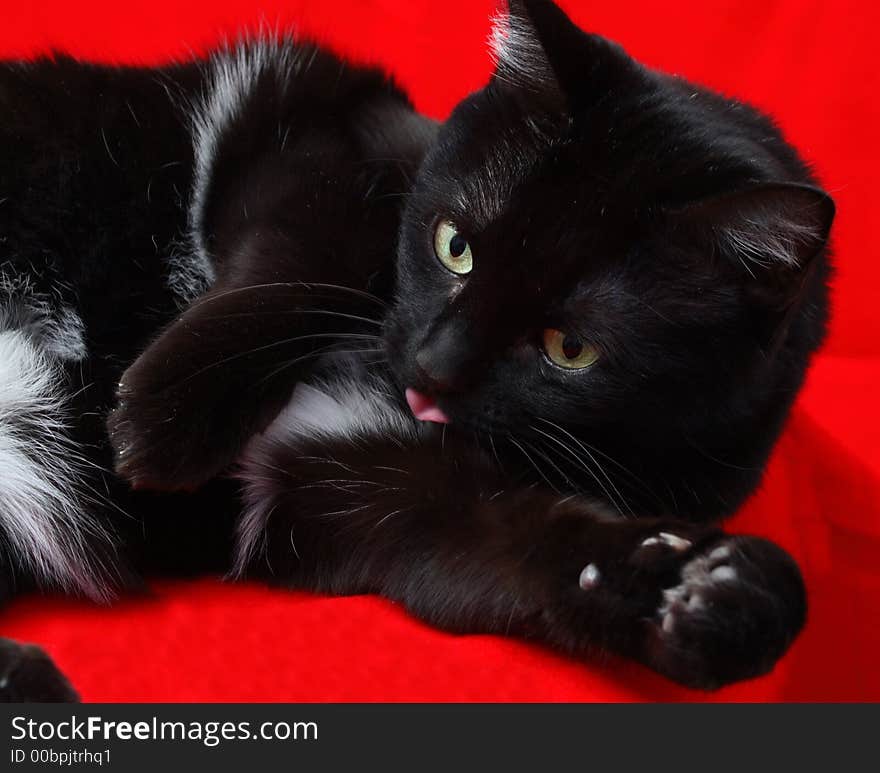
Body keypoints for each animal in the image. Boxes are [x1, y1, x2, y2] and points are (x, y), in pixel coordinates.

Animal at [0, 0, 832, 700]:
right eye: (453, 245)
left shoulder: (362, 484)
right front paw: (163, 421)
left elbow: (514, 544)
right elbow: (295, 272)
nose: (432, 368)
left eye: (571, 347)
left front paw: (712, 593)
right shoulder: (331, 135)